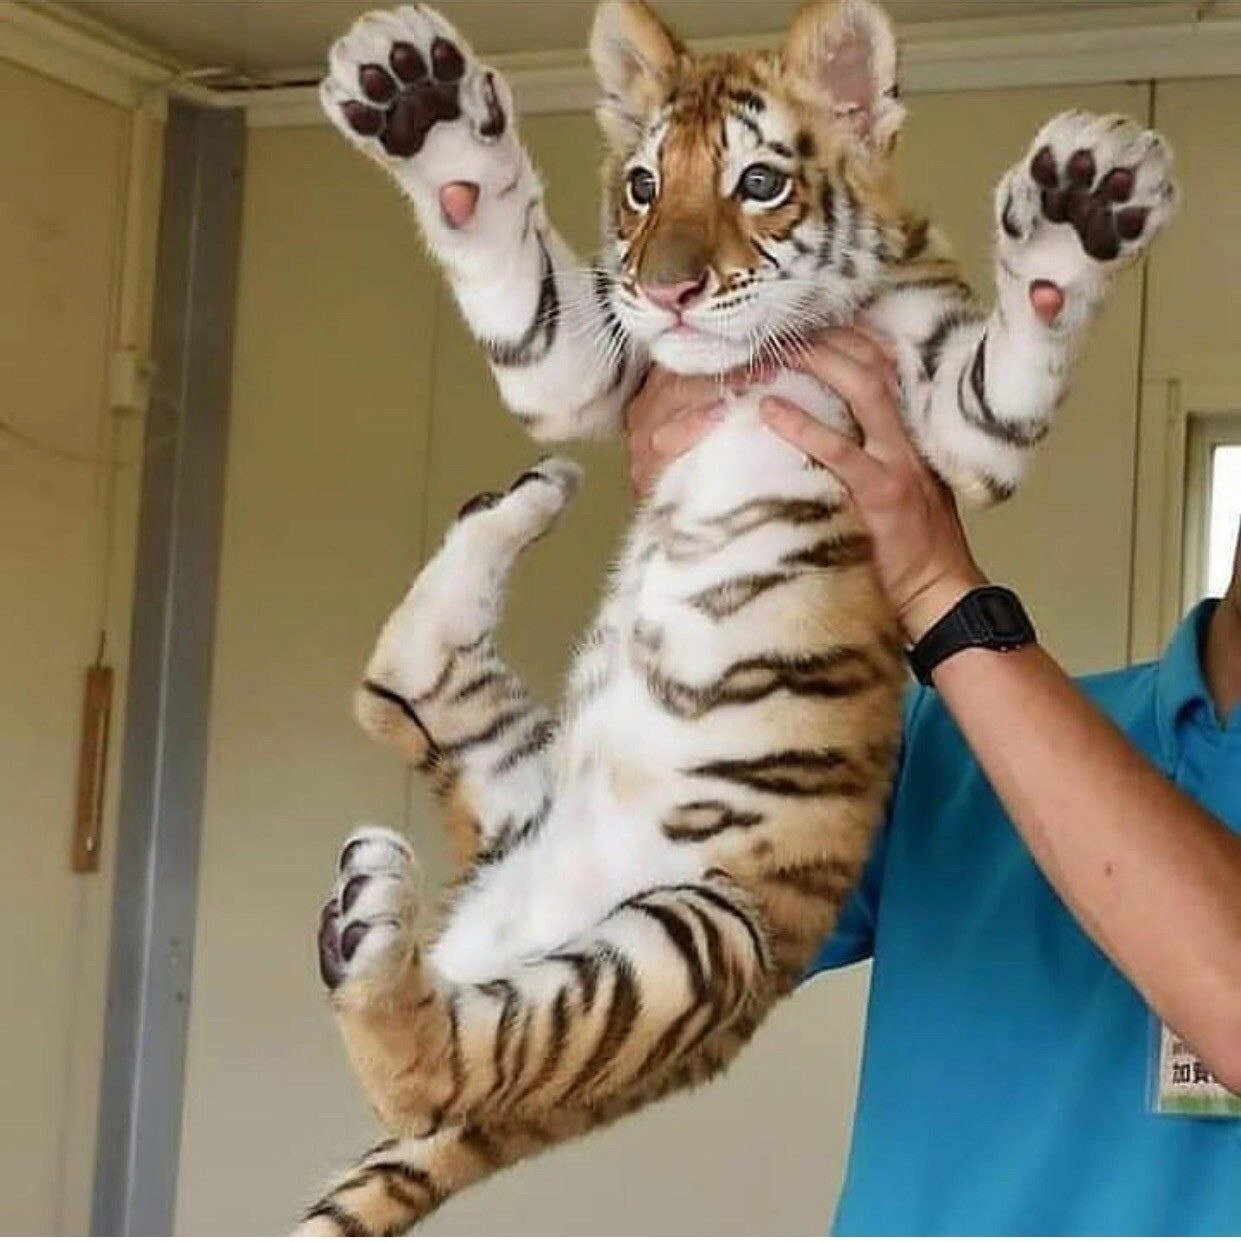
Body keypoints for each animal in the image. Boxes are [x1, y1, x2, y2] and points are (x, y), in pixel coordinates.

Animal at [297, 0, 1177, 1233]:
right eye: (639, 187)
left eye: (759, 182)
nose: (665, 291)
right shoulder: (596, 367)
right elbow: (523, 290)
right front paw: (421, 106)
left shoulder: (952, 436)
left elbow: (1017, 353)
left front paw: (1083, 207)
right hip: (526, 797)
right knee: (400, 685)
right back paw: (527, 502)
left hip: (691, 946)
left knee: (430, 1064)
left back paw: (370, 921)